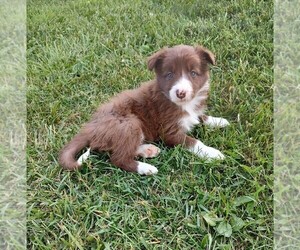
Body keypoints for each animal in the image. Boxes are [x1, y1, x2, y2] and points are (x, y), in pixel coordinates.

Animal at [59, 44, 231, 174]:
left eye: (193, 73)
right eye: (169, 75)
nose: (180, 93)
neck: (183, 104)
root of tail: (89, 128)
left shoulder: (191, 113)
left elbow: (199, 116)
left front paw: (219, 121)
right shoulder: (169, 131)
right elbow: (194, 142)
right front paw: (212, 153)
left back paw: (146, 150)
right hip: (128, 123)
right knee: (118, 158)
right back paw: (146, 168)